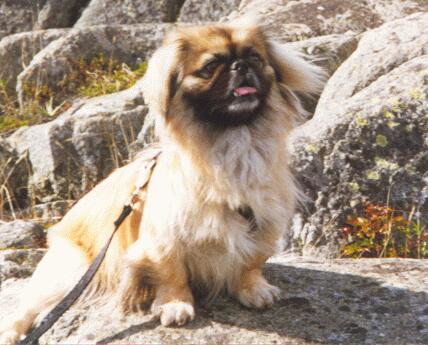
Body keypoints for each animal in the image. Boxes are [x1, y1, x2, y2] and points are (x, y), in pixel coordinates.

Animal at [0, 19, 322, 344]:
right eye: (211, 66)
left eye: (255, 57)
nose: (240, 65)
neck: (233, 144)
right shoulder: (163, 238)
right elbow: (171, 271)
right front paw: (176, 305)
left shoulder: (264, 223)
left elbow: (251, 262)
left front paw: (253, 288)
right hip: (72, 270)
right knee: (27, 307)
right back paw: (13, 331)